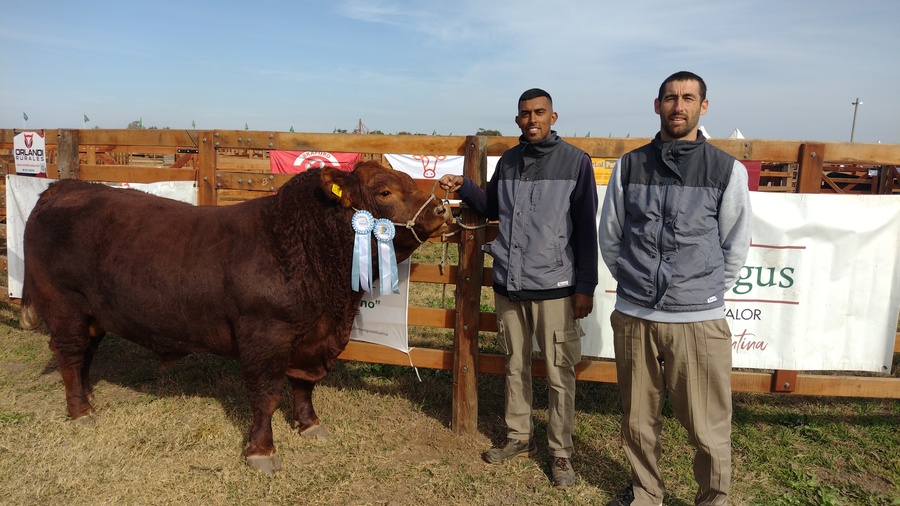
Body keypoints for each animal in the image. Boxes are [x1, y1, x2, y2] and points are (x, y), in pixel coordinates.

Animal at [22, 160, 450, 472]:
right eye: (385, 191)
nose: (443, 206)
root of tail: (64, 187)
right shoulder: (266, 337)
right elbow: (267, 395)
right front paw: (261, 451)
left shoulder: (312, 337)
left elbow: (303, 386)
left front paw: (310, 424)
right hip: (64, 306)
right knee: (70, 354)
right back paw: (80, 411)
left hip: (93, 312)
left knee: (85, 355)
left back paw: (88, 397)